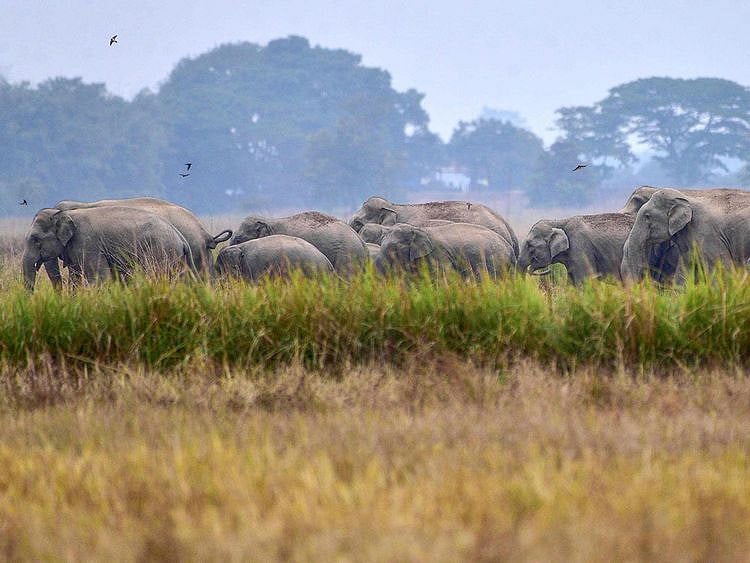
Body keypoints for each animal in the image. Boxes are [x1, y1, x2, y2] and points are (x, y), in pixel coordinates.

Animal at [23, 207, 196, 290]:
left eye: (36, 239)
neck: (65, 213)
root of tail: (181, 239)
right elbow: (75, 277)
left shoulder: (87, 243)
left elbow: (99, 277)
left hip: (161, 252)